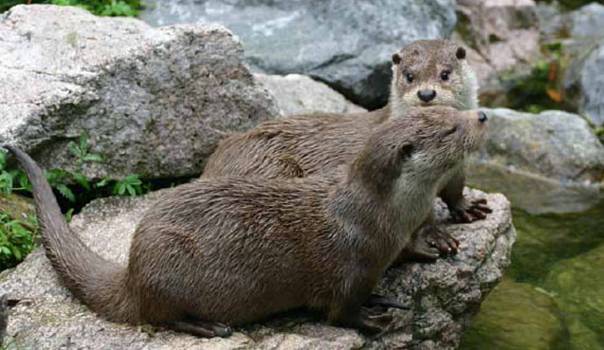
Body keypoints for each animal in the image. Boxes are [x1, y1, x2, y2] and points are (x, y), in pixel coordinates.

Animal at [2, 106, 488, 336]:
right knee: (158, 316)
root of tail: (132, 271)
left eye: (452, 112)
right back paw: (207, 326)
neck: (376, 216)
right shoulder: (348, 267)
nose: (481, 115)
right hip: (166, 264)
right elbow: (339, 312)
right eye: (450, 129)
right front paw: (373, 318)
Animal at [203, 39, 490, 262]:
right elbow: (423, 216)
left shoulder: (457, 170)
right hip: (269, 165)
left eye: (445, 73)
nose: (427, 93)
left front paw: (468, 207)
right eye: (409, 76)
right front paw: (437, 236)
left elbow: (455, 191)